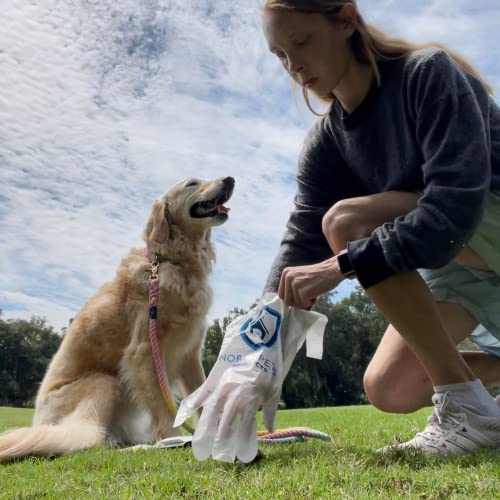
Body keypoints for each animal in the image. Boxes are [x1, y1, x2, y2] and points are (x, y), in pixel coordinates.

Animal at [0, 176, 234, 461]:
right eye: (192, 183)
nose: (230, 179)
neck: (175, 263)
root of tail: (39, 421)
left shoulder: (190, 355)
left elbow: (203, 394)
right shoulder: (143, 352)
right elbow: (162, 405)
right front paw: (173, 438)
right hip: (103, 382)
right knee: (87, 438)